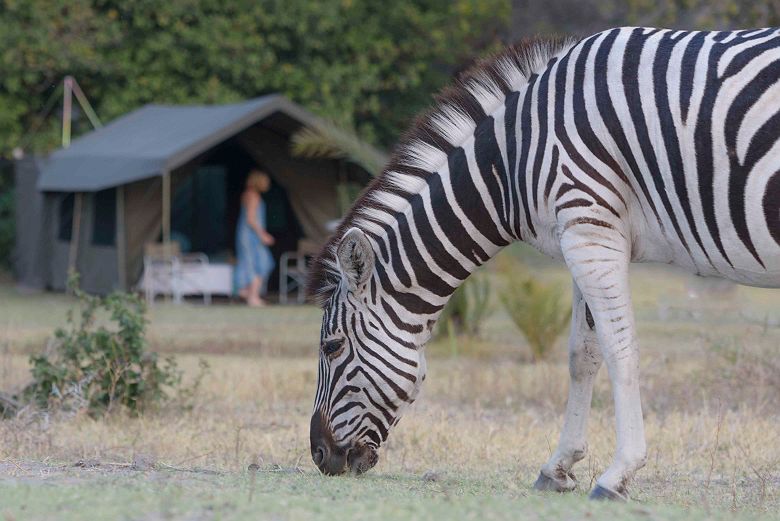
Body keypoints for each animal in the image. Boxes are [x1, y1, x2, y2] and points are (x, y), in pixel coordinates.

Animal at [304, 28, 780, 500]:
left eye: (332, 347)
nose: (319, 456)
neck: (512, 159)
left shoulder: (590, 229)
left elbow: (619, 349)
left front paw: (618, 475)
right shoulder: (582, 234)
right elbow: (582, 354)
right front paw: (559, 468)